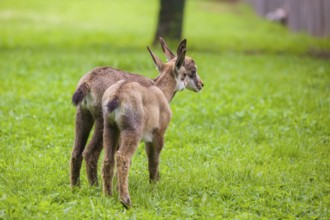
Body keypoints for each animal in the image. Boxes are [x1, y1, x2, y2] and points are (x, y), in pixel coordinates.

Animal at [71, 37, 202, 187]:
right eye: (192, 71)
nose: (201, 84)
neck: (159, 88)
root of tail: (88, 81)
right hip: (102, 123)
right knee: (91, 153)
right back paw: (96, 187)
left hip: (83, 116)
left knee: (76, 151)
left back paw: (76, 187)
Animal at [102, 40, 188, 208]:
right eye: (185, 73)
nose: (190, 83)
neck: (161, 92)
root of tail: (117, 95)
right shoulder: (158, 134)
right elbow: (154, 160)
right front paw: (154, 186)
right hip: (132, 131)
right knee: (122, 157)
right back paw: (125, 200)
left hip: (110, 128)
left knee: (108, 159)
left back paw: (108, 196)